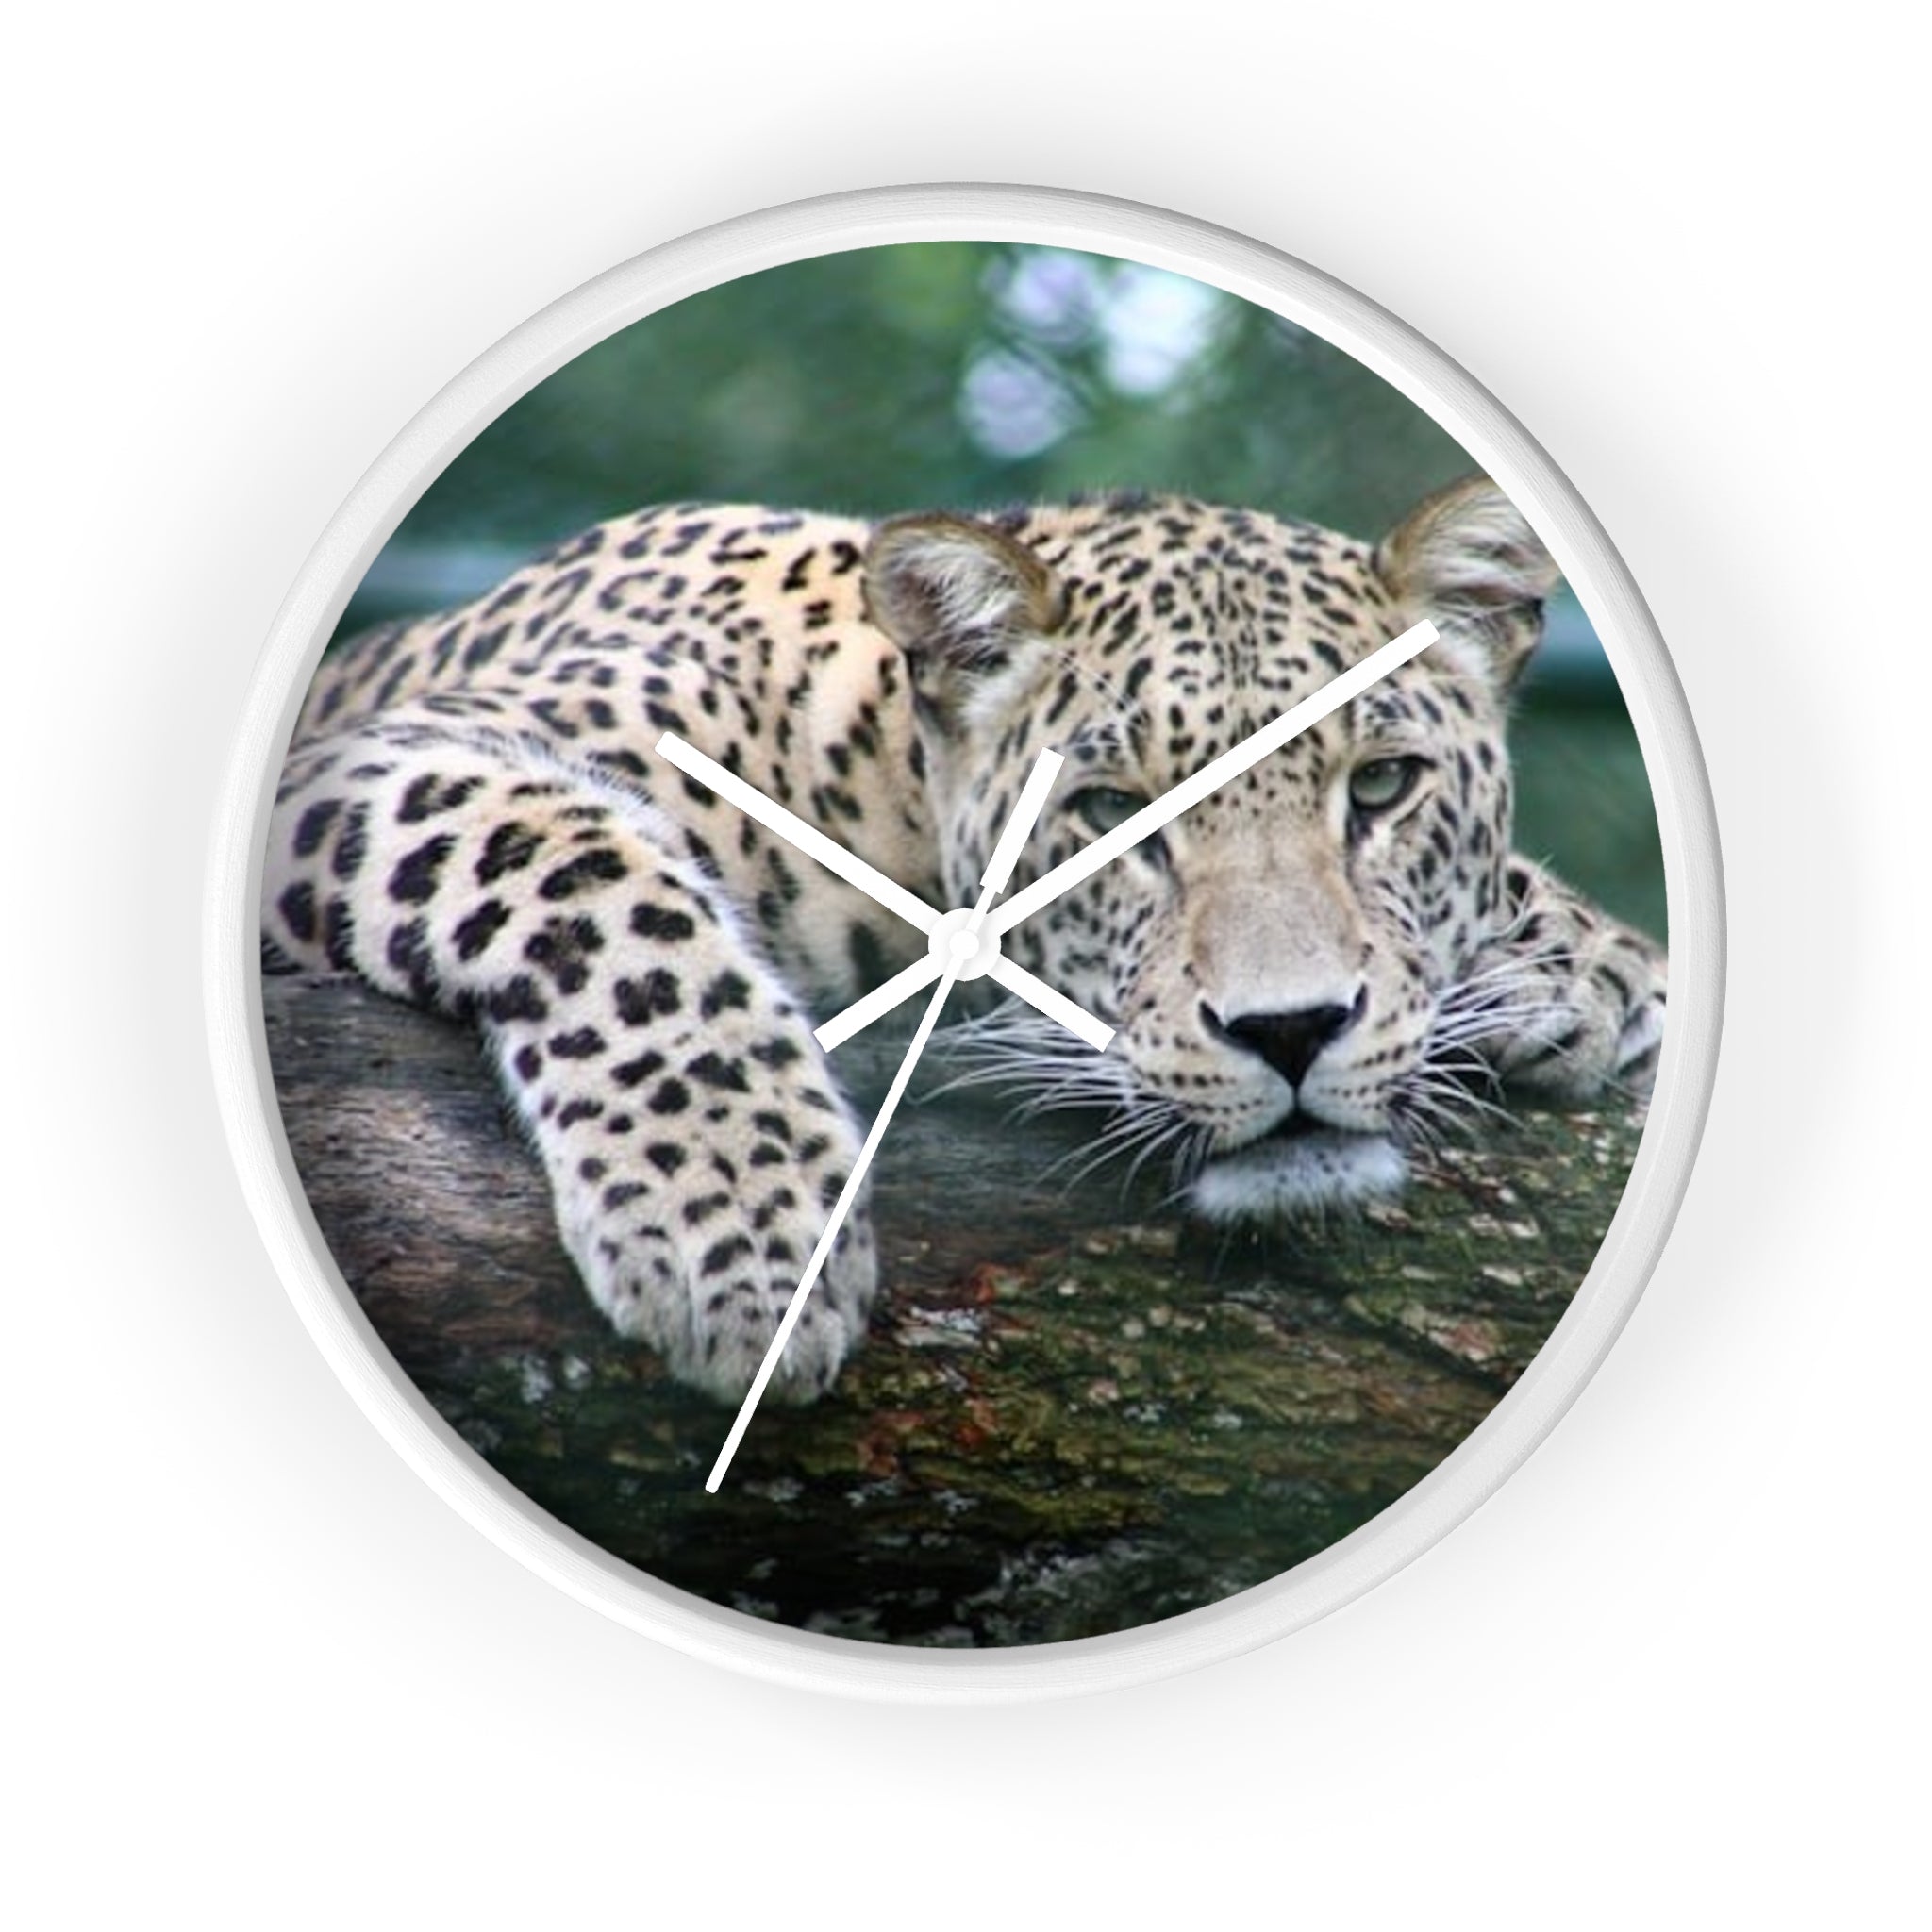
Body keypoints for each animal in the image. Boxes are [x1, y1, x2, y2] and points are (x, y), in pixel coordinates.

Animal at [263, 478, 1667, 1406]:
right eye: (1108, 813)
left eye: (1380, 786)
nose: (1290, 1031)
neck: (878, 779)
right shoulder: (376, 764)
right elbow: (602, 883)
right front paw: (742, 1230)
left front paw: (1581, 967)